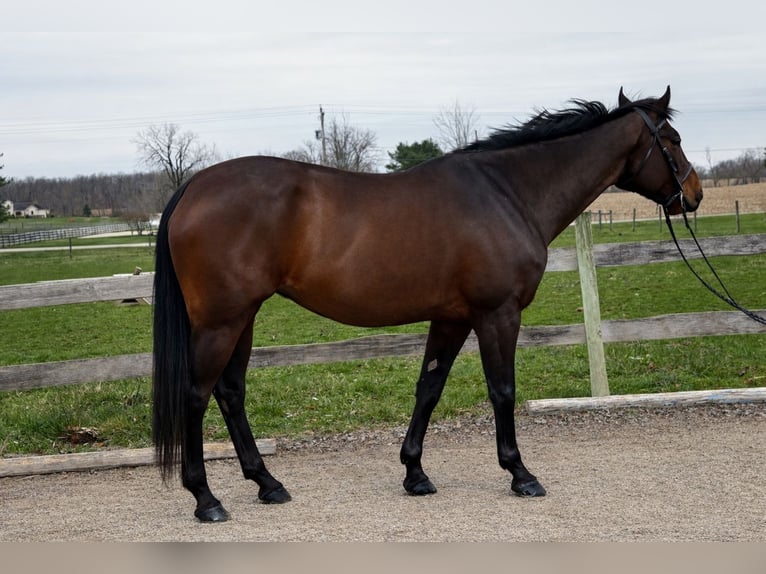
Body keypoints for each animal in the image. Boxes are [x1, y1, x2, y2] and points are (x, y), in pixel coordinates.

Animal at [152, 86, 703, 522]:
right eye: (673, 141)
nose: (694, 195)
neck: (507, 192)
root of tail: (194, 186)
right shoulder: (497, 315)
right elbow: (502, 390)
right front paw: (520, 473)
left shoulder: (452, 318)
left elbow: (429, 388)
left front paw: (415, 473)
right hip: (221, 321)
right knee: (197, 395)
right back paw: (206, 499)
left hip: (243, 318)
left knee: (230, 392)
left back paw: (268, 483)